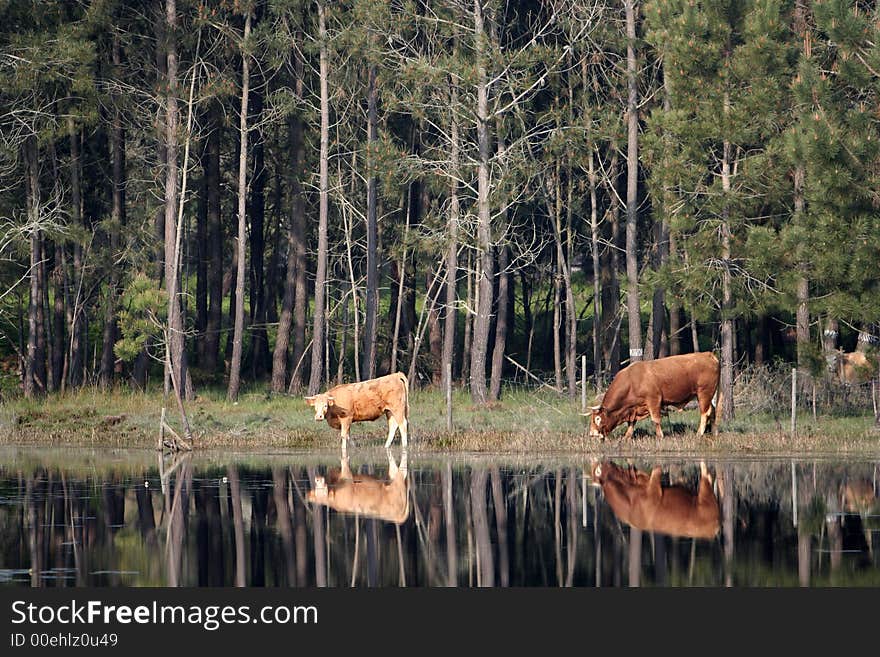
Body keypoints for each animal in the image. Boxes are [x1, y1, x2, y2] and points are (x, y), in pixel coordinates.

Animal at [584, 352, 720, 438]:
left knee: (705, 413)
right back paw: (714, 432)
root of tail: (708, 354)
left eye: (597, 419)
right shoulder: (634, 408)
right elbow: (631, 423)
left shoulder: (654, 400)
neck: (632, 381)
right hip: (708, 395)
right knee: (713, 411)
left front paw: (660, 436)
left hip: (703, 393)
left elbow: (656, 420)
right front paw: (626, 437)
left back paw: (699, 433)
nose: (592, 433)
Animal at [588, 462, 720, 540]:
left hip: (705, 494)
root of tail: (712, 531)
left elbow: (656, 470)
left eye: (598, 471)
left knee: (705, 475)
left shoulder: (654, 491)